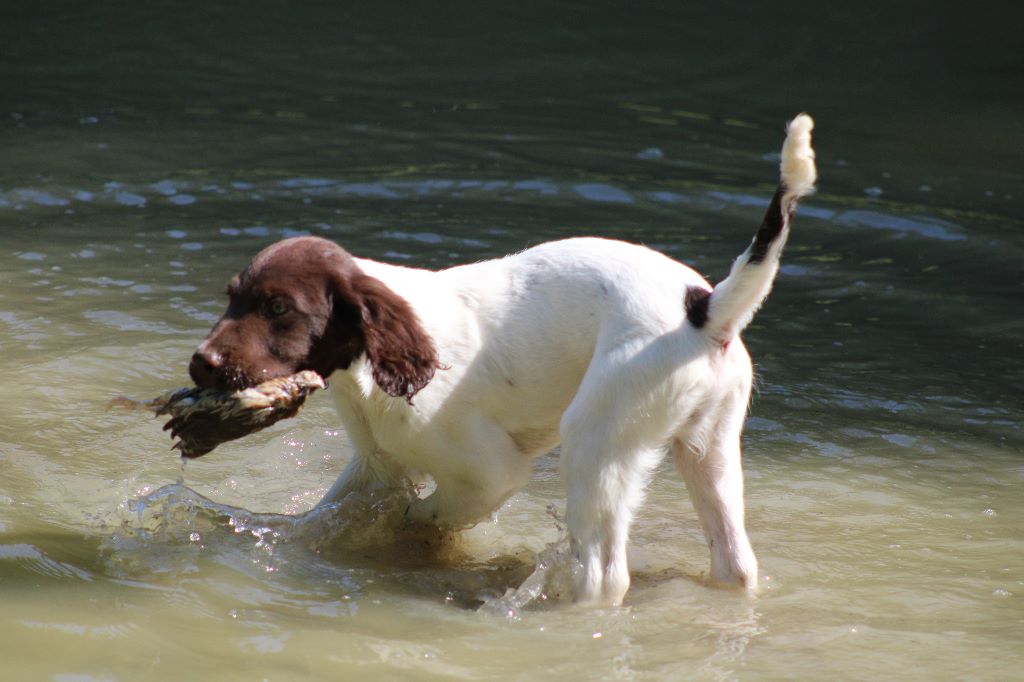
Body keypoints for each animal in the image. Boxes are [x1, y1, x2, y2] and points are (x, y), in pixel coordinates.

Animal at [190, 114, 815, 602]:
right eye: (231, 298)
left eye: (277, 307)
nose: (200, 364)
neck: (368, 368)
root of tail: (704, 308)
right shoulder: (376, 465)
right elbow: (325, 517)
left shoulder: (489, 474)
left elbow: (425, 515)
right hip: (708, 447)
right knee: (735, 563)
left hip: (598, 441)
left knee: (604, 576)